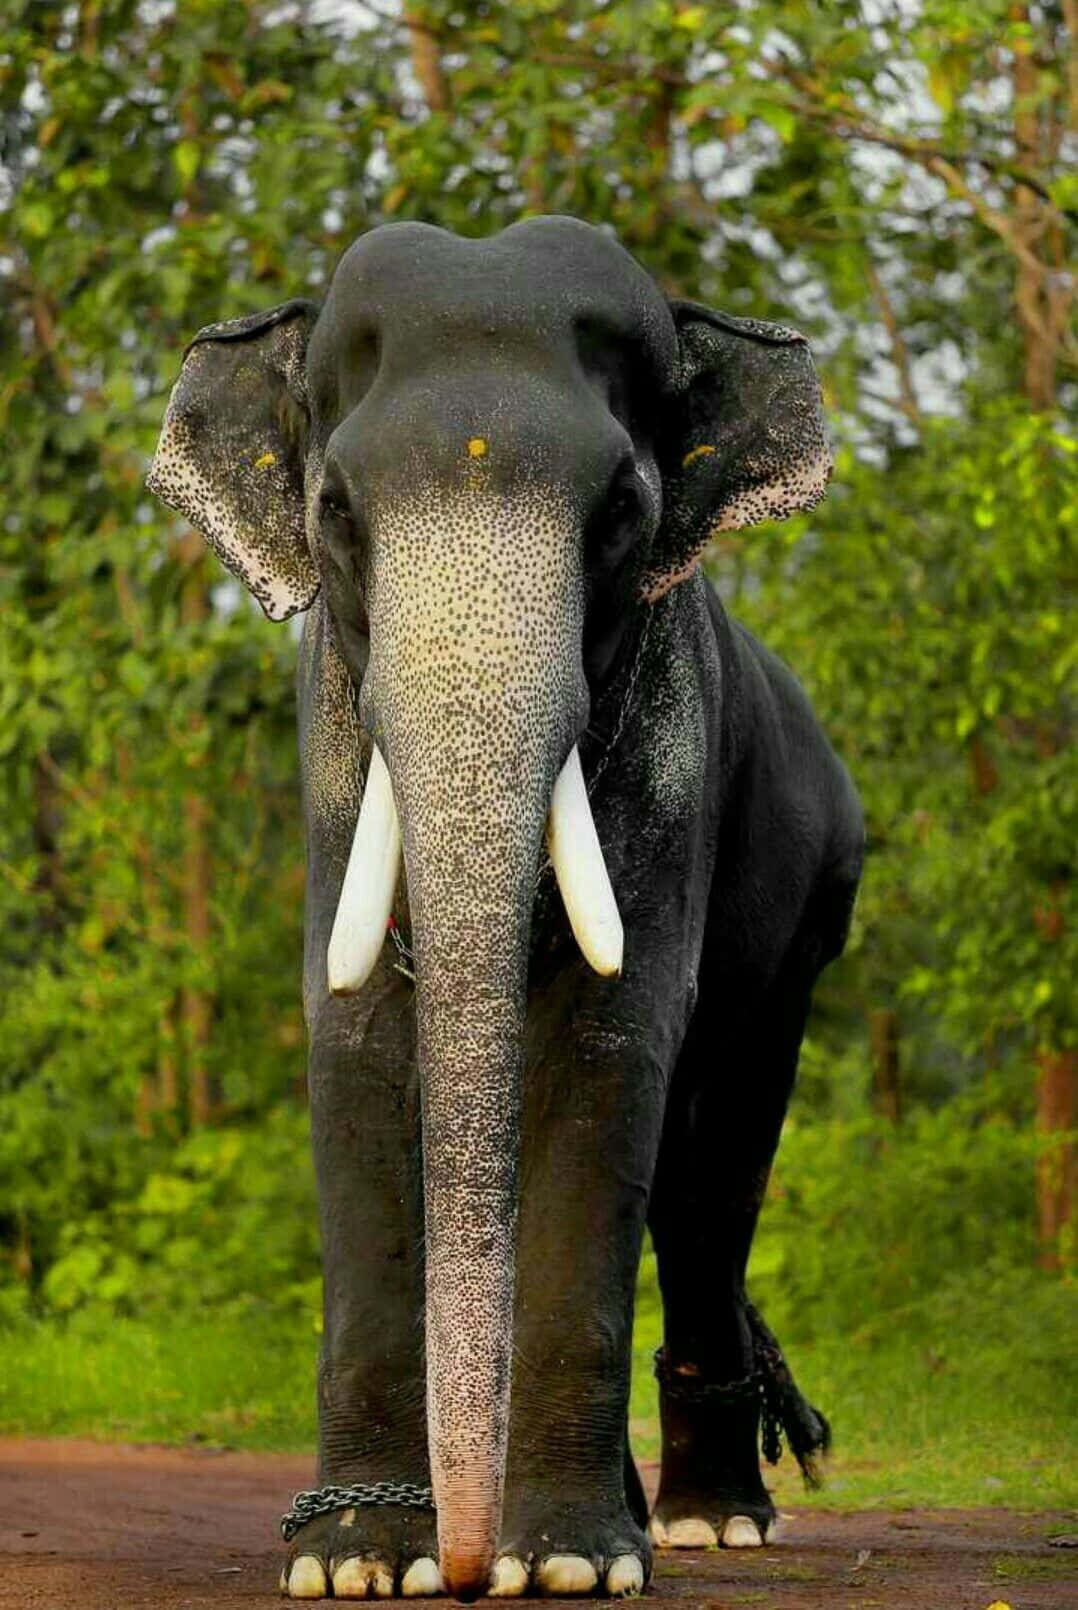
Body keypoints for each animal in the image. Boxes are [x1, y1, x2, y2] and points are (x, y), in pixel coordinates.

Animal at [147, 216, 863, 1602]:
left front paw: (572, 1563)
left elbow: (612, 1033)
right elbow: (356, 1039)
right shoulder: (330, 727)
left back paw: (711, 1523)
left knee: (713, 1164)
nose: (467, 1562)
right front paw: (357, 1562)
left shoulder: (674, 732)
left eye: (625, 512)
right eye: (333, 511)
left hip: (811, 922)